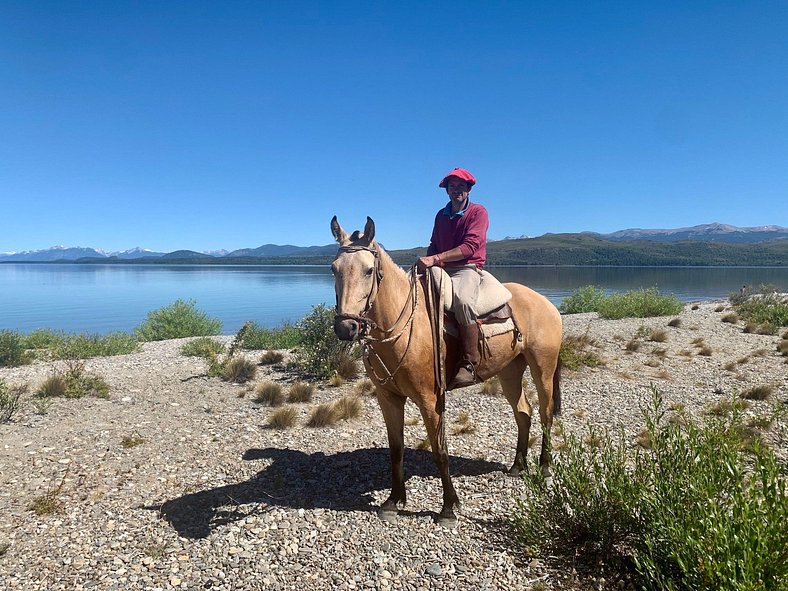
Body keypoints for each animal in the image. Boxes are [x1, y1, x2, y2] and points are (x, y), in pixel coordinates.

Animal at [330, 215, 564, 524]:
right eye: (334, 269)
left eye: (369, 270)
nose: (346, 327)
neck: (403, 326)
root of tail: (547, 304)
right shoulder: (388, 398)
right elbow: (396, 449)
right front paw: (393, 501)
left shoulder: (430, 400)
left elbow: (440, 450)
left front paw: (449, 507)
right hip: (510, 371)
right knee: (523, 412)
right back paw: (518, 466)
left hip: (542, 368)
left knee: (546, 414)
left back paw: (545, 468)